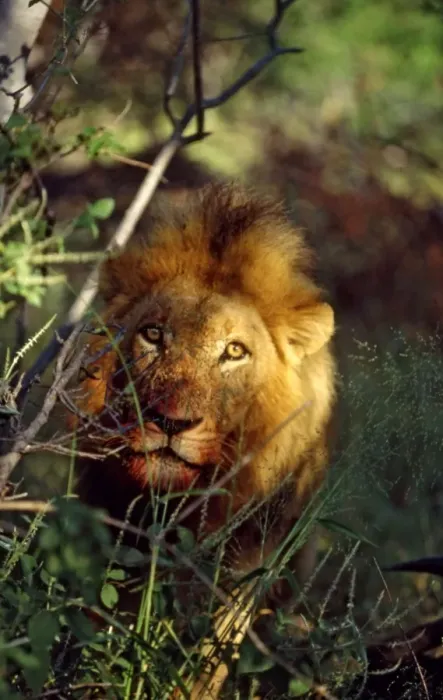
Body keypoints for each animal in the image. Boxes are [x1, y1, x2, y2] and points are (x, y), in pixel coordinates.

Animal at [71, 182, 336, 697]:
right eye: (153, 334)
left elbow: (201, 663)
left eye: (234, 351)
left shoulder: (243, 570)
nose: (170, 422)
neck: (177, 510)